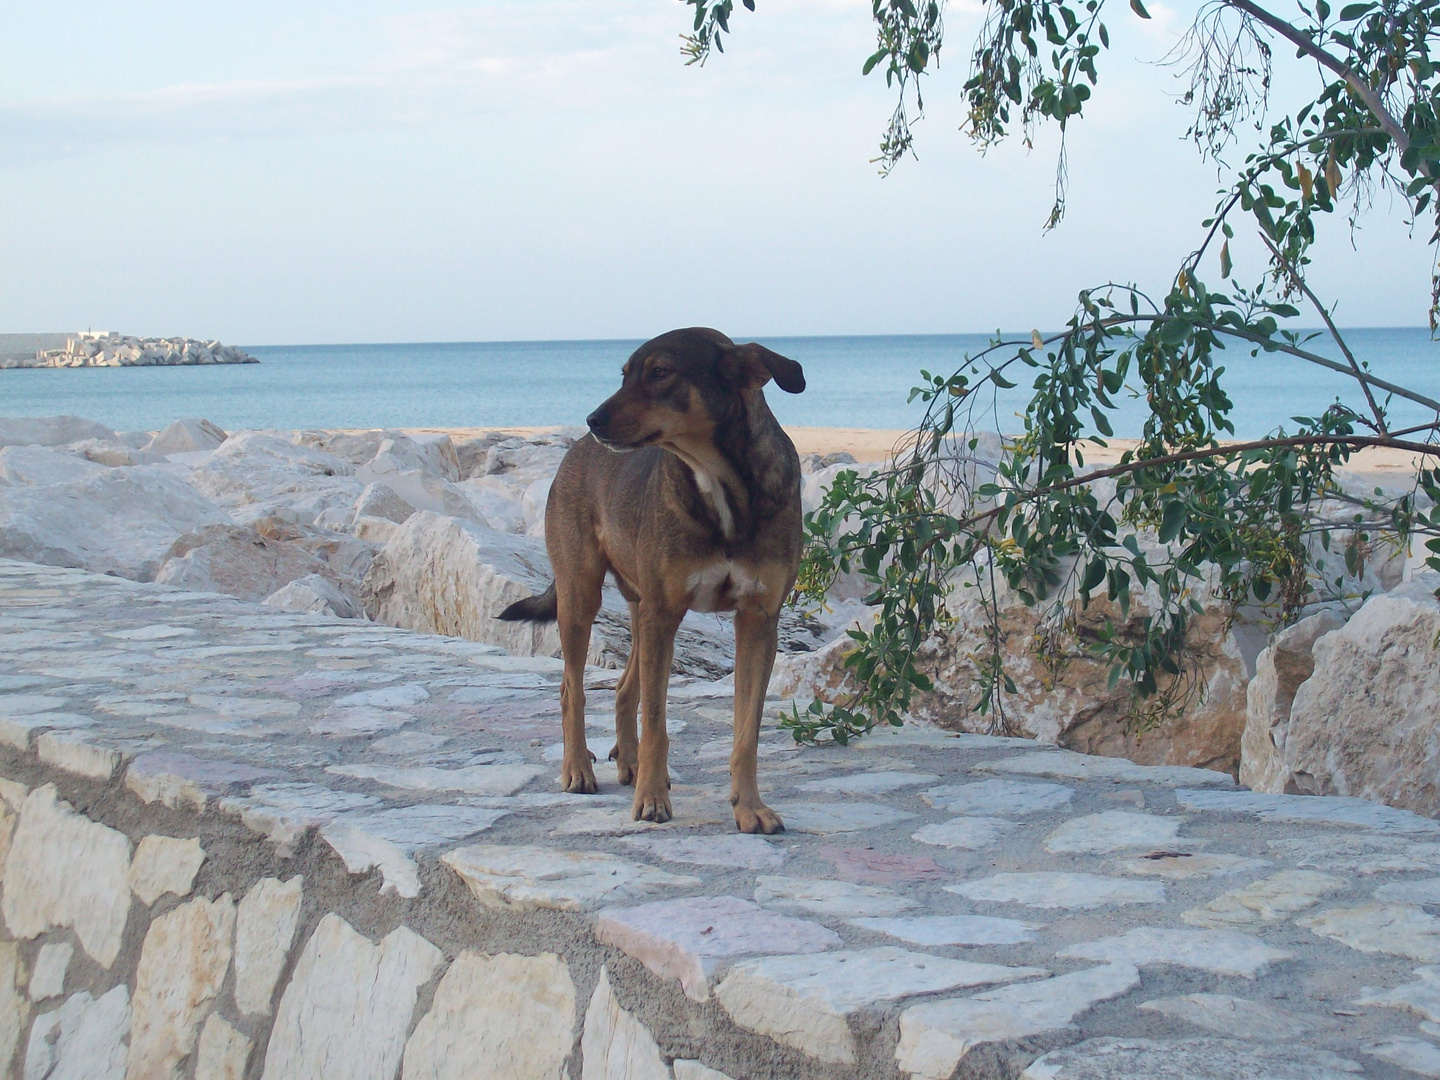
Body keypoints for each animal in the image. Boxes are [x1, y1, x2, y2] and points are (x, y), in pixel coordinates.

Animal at [501, 325, 806, 835]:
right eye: (624, 374)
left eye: (661, 372)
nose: (593, 420)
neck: (720, 485)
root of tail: (574, 451)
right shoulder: (664, 614)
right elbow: (657, 723)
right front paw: (651, 798)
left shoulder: (757, 620)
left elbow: (745, 733)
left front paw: (749, 807)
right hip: (582, 599)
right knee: (571, 690)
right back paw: (579, 769)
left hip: (641, 609)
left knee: (625, 689)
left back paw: (628, 762)